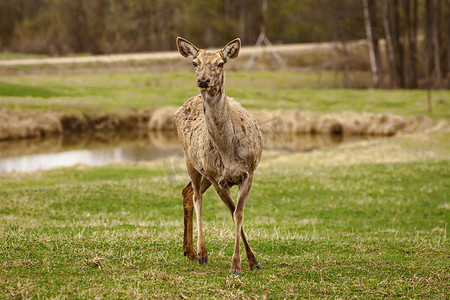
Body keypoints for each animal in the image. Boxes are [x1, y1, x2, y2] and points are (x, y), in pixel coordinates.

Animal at [174, 37, 262, 274]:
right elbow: (233, 213)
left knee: (187, 192)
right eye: (194, 63)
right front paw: (237, 265)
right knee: (196, 197)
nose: (203, 80)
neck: (228, 150)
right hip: (192, 161)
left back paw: (188, 251)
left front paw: (252, 262)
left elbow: (238, 214)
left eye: (221, 63)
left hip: (205, 173)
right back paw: (201, 252)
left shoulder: (248, 172)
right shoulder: (219, 179)